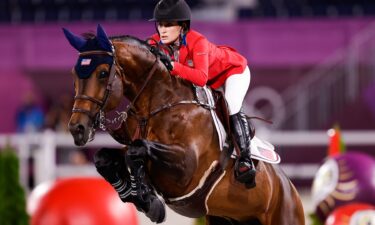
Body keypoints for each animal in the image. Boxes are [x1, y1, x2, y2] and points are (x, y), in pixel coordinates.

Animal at [64, 24, 306, 225]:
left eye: (103, 73)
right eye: (74, 74)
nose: (77, 129)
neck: (160, 103)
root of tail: (289, 187)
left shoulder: (186, 169)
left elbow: (137, 150)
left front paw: (148, 201)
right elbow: (105, 157)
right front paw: (135, 195)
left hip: (284, 215)